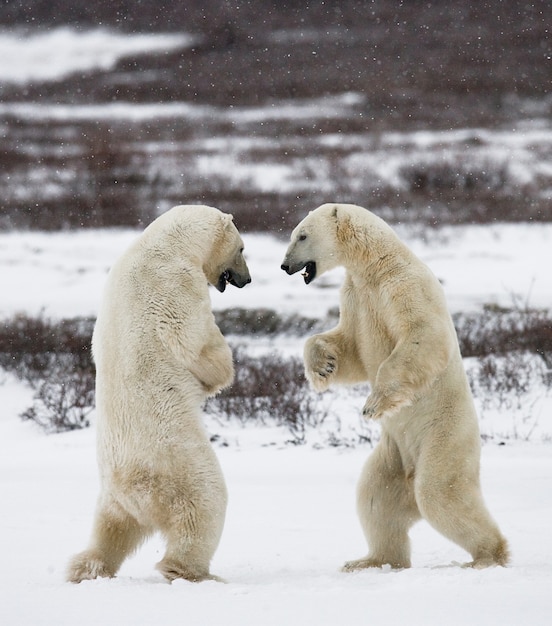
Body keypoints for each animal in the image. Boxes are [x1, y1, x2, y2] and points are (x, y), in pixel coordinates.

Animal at [66, 204, 252, 580]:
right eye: (242, 249)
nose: (247, 279)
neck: (167, 244)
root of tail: (135, 495)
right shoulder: (177, 284)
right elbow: (195, 342)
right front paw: (222, 370)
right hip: (180, 468)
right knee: (205, 507)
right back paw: (191, 571)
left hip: (111, 497)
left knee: (110, 529)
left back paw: (86, 567)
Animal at [282, 202, 512, 568]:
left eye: (301, 235)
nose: (285, 265)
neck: (375, 264)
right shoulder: (356, 296)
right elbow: (351, 348)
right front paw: (323, 365)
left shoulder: (404, 285)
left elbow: (422, 333)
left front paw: (373, 404)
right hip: (392, 455)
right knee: (376, 498)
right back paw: (369, 561)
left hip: (445, 435)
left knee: (440, 492)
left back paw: (486, 556)